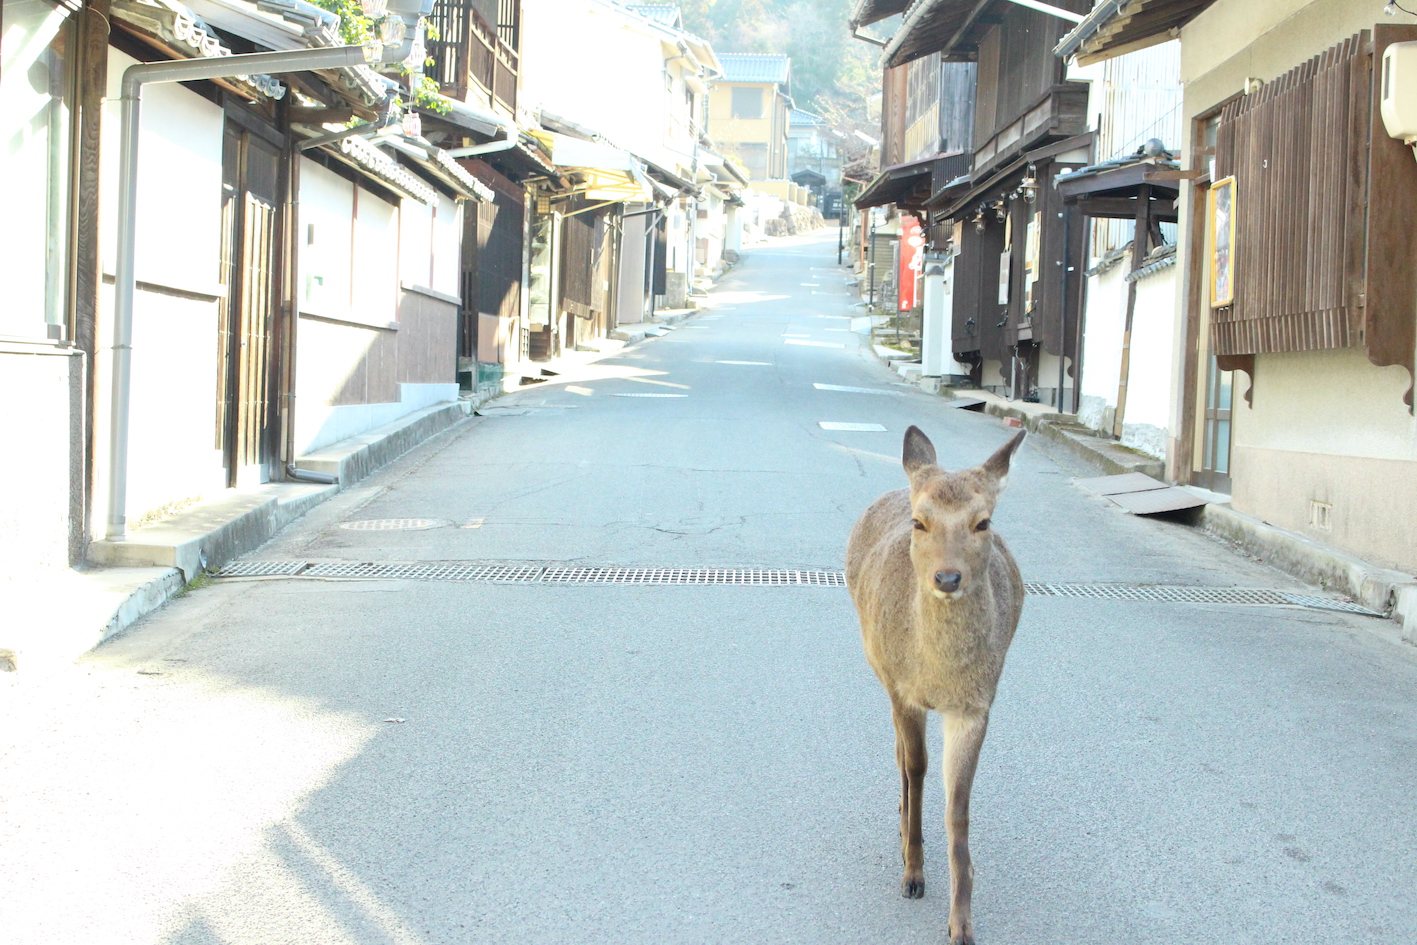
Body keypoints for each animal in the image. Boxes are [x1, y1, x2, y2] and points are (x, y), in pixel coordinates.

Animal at [844, 425, 1025, 940]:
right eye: (919, 522)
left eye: (983, 522)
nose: (947, 577)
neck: (939, 674)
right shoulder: (904, 691)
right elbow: (917, 769)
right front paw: (913, 874)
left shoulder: (977, 705)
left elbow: (958, 804)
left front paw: (961, 921)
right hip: (880, 670)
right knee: (901, 757)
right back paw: (903, 824)